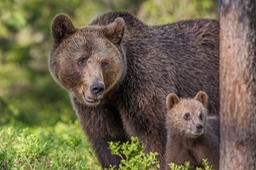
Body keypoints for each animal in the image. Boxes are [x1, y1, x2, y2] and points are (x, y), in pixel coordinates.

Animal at [49, 11, 219, 168]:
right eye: (82, 60)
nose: (96, 87)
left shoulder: (143, 86)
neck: (115, 92)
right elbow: (107, 140)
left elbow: (156, 135)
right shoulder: (96, 110)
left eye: (104, 62)